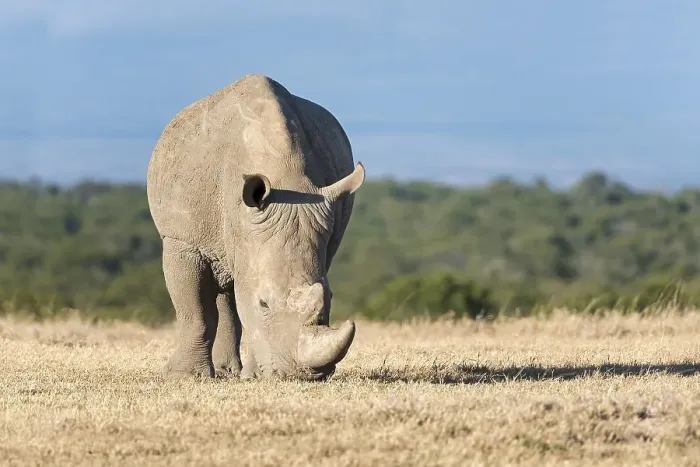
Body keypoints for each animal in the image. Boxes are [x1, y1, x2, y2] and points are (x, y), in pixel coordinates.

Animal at [147, 74, 365, 381]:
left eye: (331, 297)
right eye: (263, 303)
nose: (299, 375)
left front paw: (254, 375)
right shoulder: (183, 241)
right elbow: (194, 311)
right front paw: (183, 376)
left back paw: (232, 372)